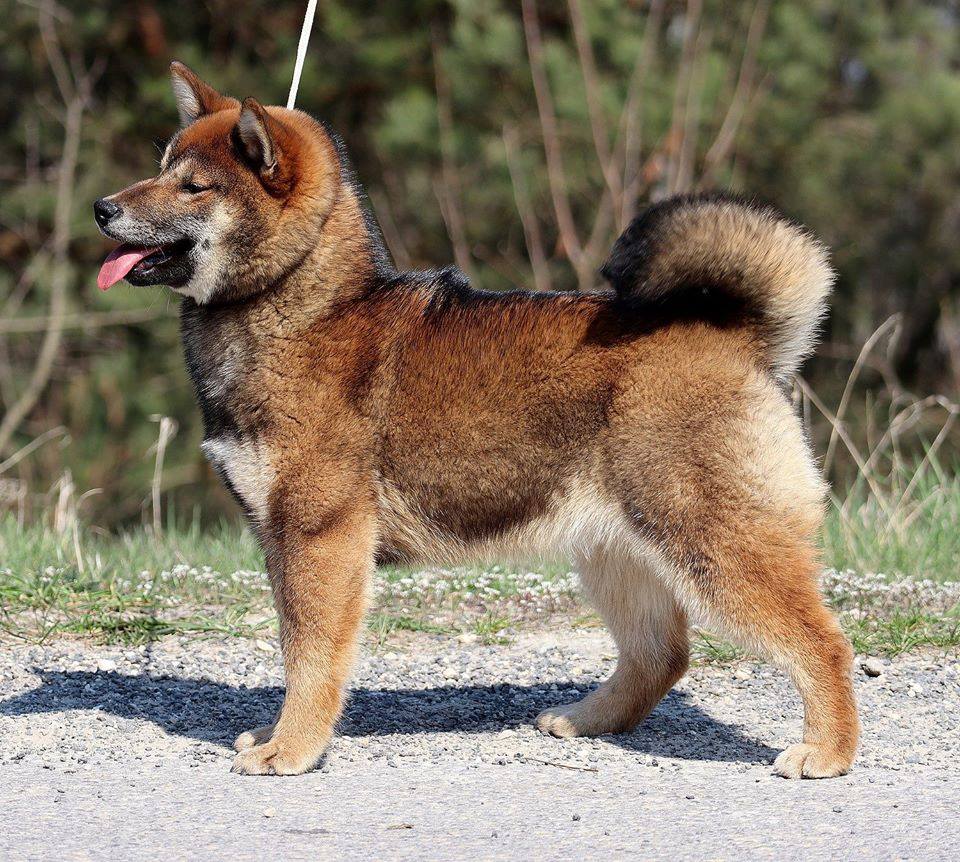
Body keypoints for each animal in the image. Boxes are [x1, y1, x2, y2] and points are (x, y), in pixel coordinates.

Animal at [93, 62, 858, 778]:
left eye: (193, 186)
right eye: (161, 167)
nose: (101, 207)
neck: (302, 308)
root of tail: (740, 336)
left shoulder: (320, 538)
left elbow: (310, 658)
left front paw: (293, 747)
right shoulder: (284, 540)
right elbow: (296, 654)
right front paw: (280, 733)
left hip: (710, 543)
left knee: (823, 641)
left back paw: (828, 751)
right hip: (616, 550)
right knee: (662, 654)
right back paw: (587, 719)